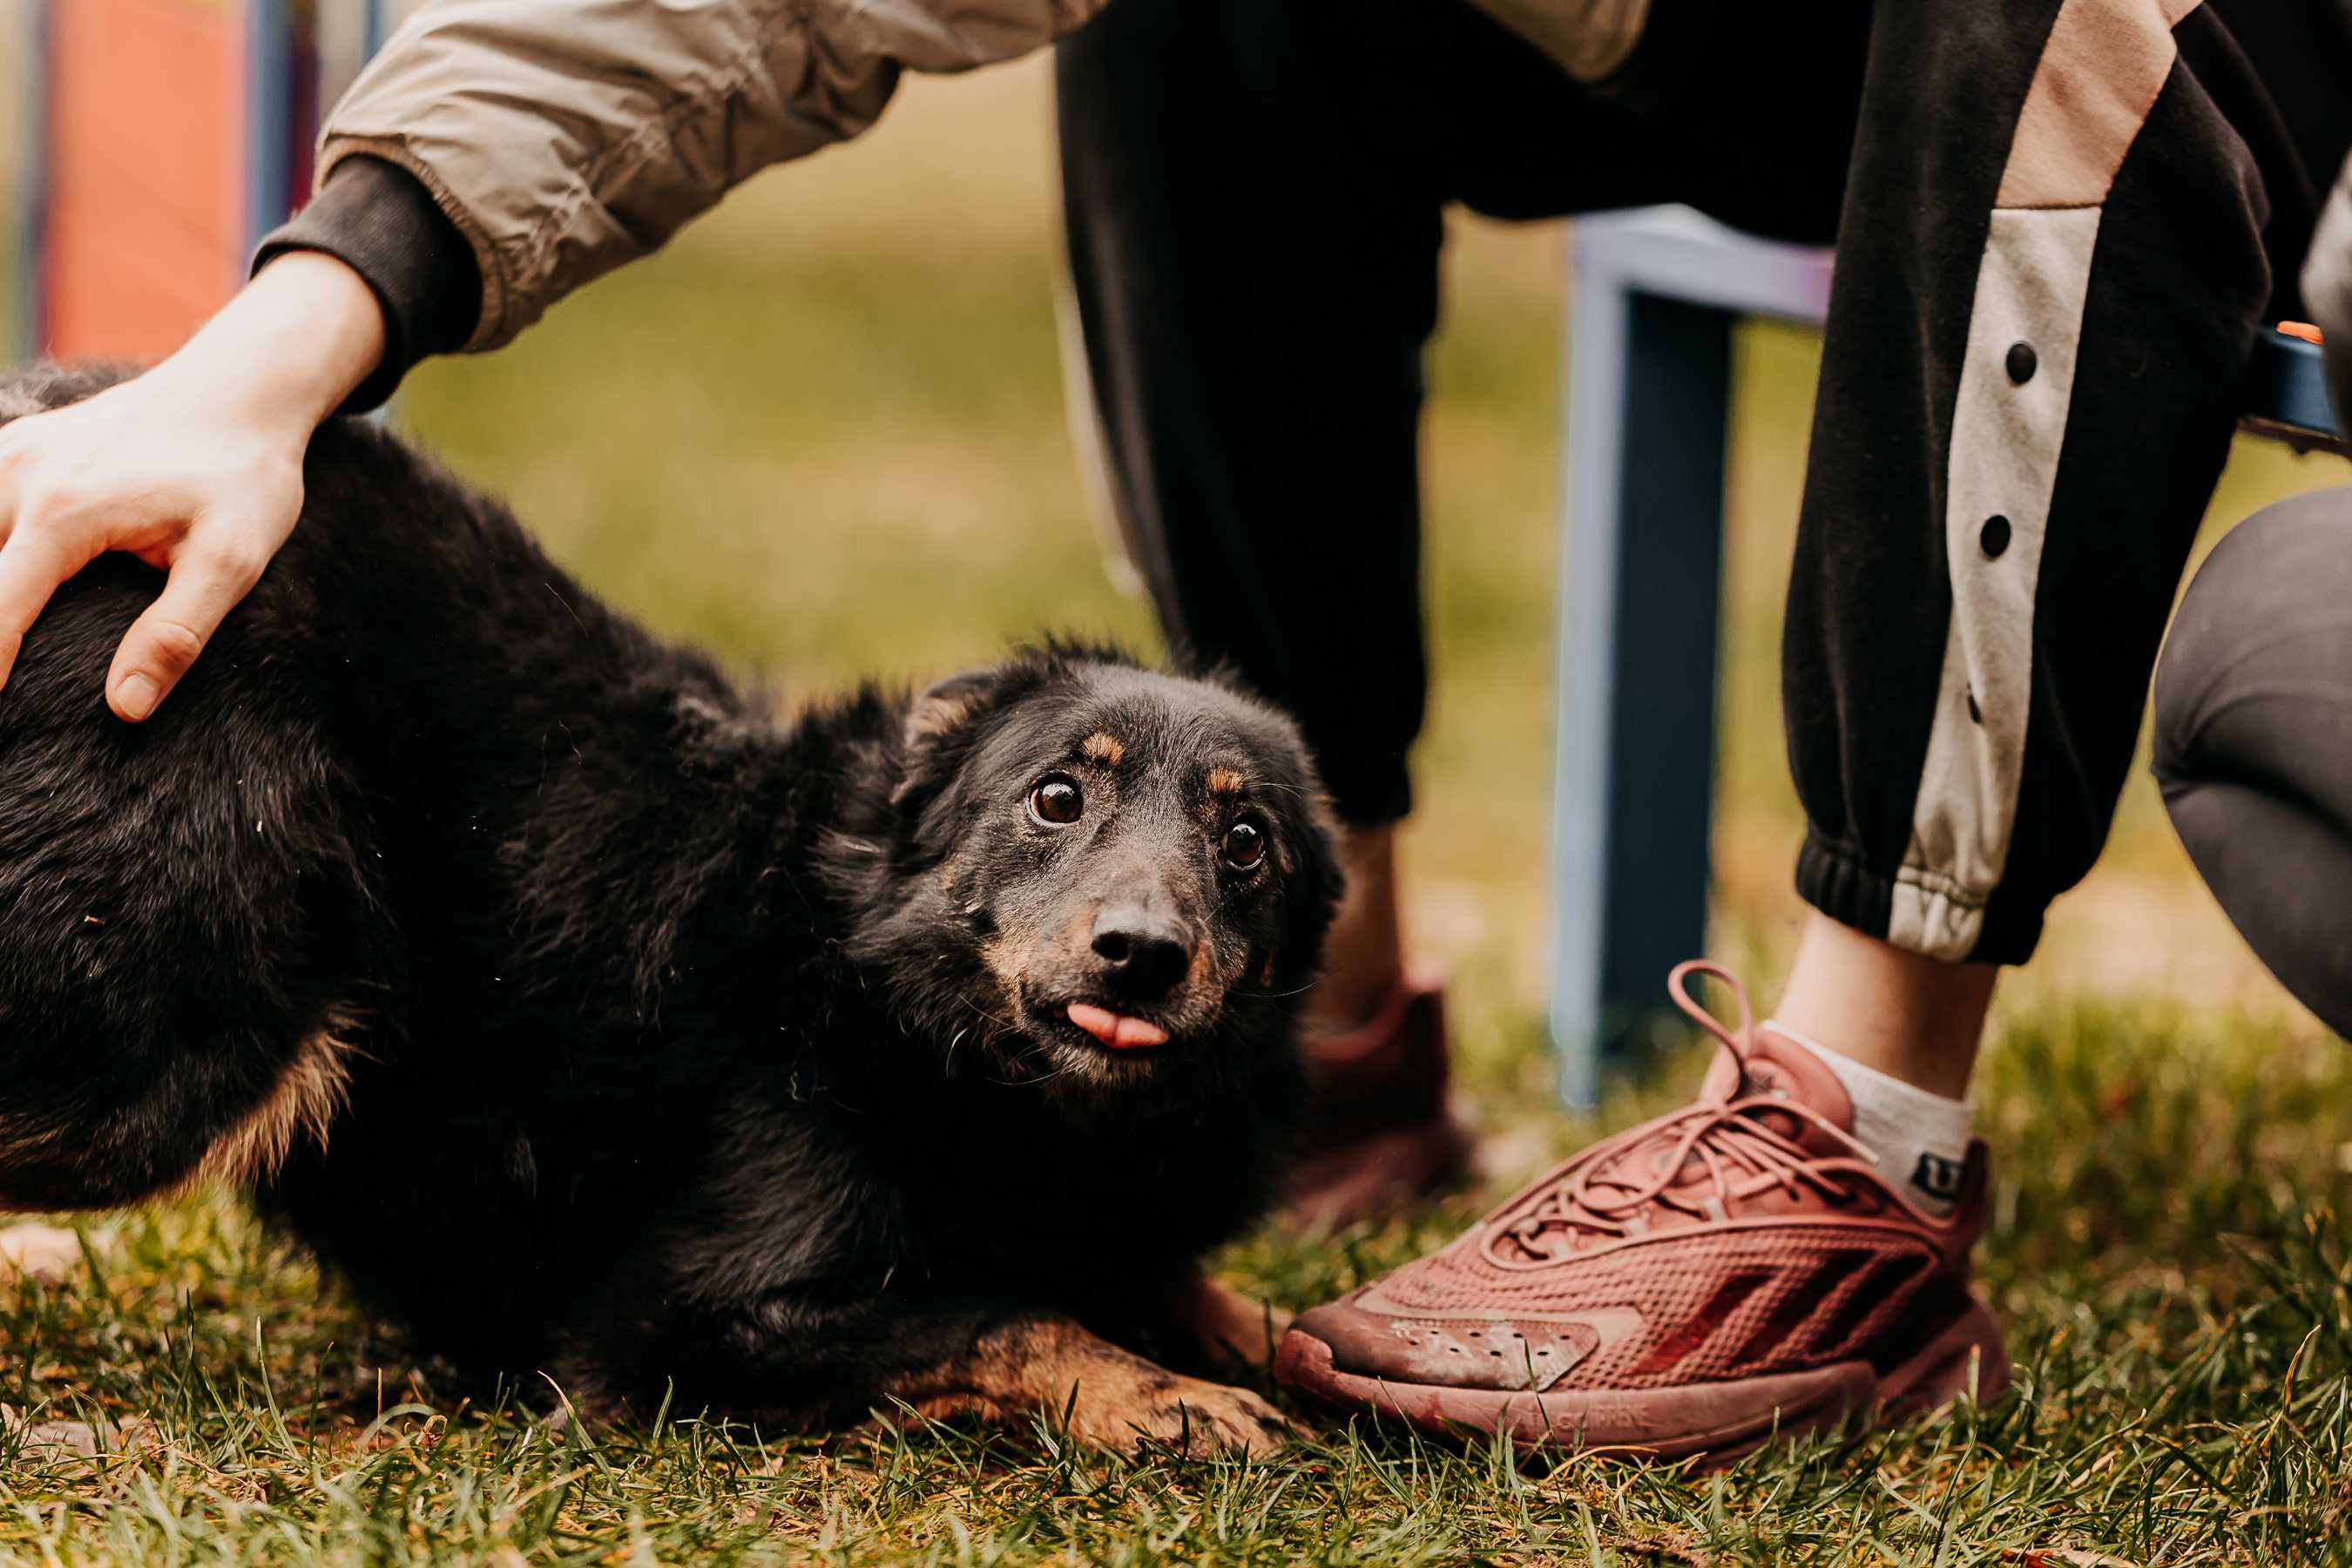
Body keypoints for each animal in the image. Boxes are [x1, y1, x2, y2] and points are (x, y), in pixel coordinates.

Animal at [0, 362, 1335, 1457]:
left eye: (1246, 844)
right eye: (1057, 796)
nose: (1141, 955)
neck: (869, 980)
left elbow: (1196, 1296)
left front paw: (1279, 1340)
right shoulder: (681, 1318)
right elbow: (1005, 1312)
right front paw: (1166, 1395)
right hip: (192, 1026)